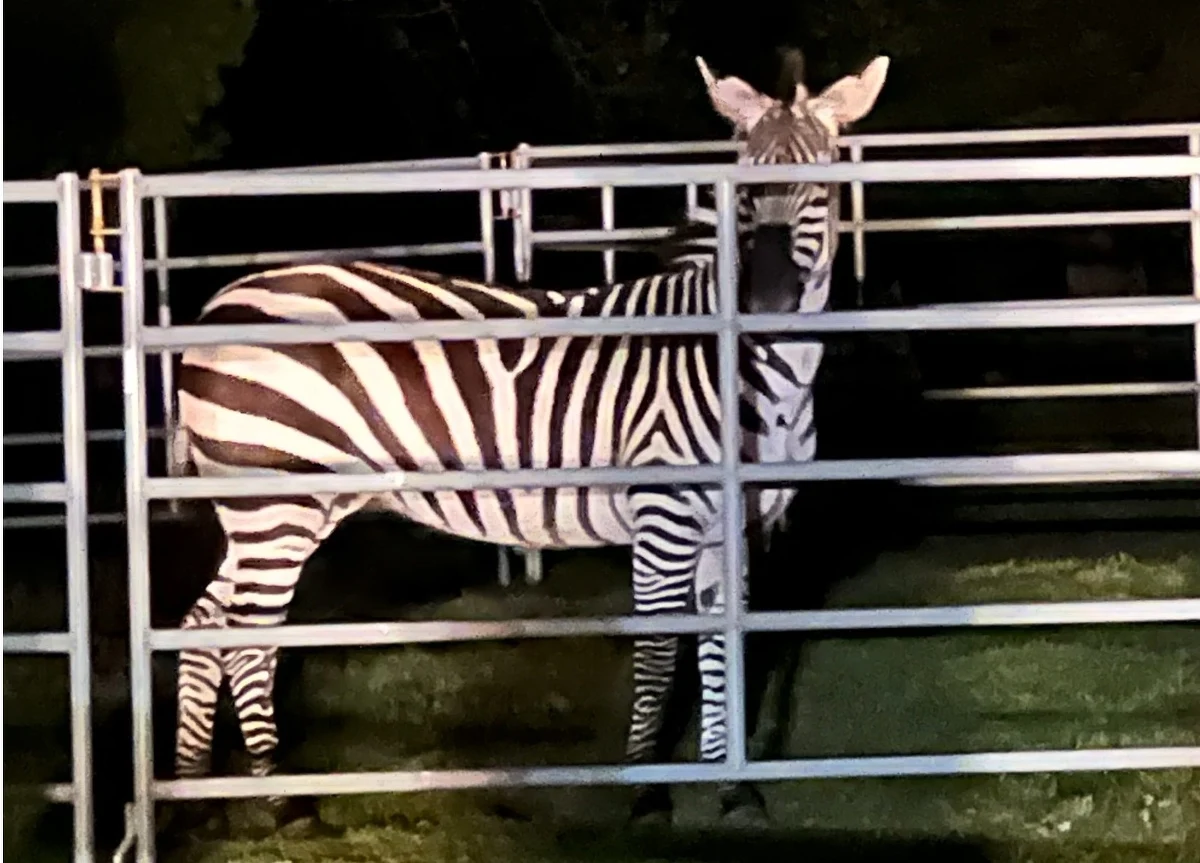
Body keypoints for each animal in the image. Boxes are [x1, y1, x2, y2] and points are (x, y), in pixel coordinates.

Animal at [166, 53, 890, 833]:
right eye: (744, 191)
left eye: (822, 187)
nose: (768, 297)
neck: (750, 368)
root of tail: (218, 303)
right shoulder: (663, 515)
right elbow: (659, 653)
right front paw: (645, 790)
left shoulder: (733, 526)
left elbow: (723, 644)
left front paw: (732, 789)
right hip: (276, 502)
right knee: (246, 637)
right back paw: (282, 801)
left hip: (275, 509)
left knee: (204, 623)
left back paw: (191, 794)